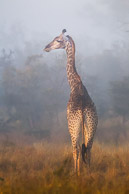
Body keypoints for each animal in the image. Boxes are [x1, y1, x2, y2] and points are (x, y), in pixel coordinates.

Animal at [44, 29, 98, 175]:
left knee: (76, 150)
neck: (75, 84)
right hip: (91, 126)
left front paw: (76, 173)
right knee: (88, 149)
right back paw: (89, 174)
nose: (46, 47)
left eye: (58, 40)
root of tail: (83, 110)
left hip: (73, 128)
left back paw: (76, 173)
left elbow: (76, 150)